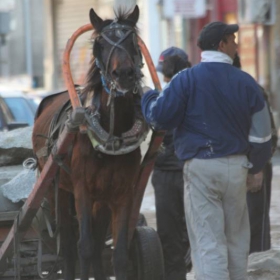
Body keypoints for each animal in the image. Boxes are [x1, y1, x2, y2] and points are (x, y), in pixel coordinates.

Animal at [32, 4, 149, 280]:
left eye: (132, 41)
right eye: (101, 44)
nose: (124, 74)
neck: (111, 132)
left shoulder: (121, 192)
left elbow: (117, 253)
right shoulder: (82, 189)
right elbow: (82, 246)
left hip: (100, 198)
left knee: (96, 245)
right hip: (57, 189)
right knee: (69, 245)